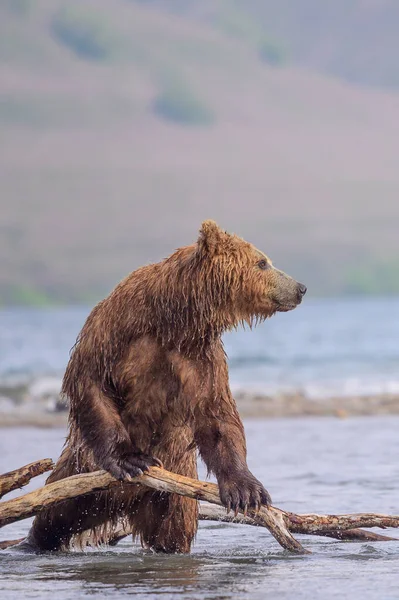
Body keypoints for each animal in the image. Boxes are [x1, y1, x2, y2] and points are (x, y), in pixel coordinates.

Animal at [25, 219, 306, 552]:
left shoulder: (203, 359)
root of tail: (119, 504)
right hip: (81, 471)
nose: (300, 288)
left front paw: (247, 489)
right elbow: (91, 380)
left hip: (173, 489)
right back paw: (32, 541)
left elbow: (217, 417)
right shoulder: (116, 326)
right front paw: (130, 459)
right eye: (262, 262)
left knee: (172, 531)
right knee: (54, 513)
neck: (175, 319)